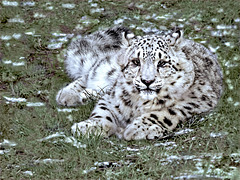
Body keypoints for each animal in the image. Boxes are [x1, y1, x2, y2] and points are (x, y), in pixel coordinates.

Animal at [56, 26, 223, 141]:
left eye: (162, 63)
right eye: (136, 61)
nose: (147, 81)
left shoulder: (197, 100)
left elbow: (165, 112)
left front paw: (138, 129)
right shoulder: (112, 97)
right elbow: (102, 111)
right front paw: (89, 126)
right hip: (106, 70)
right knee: (90, 72)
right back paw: (67, 95)